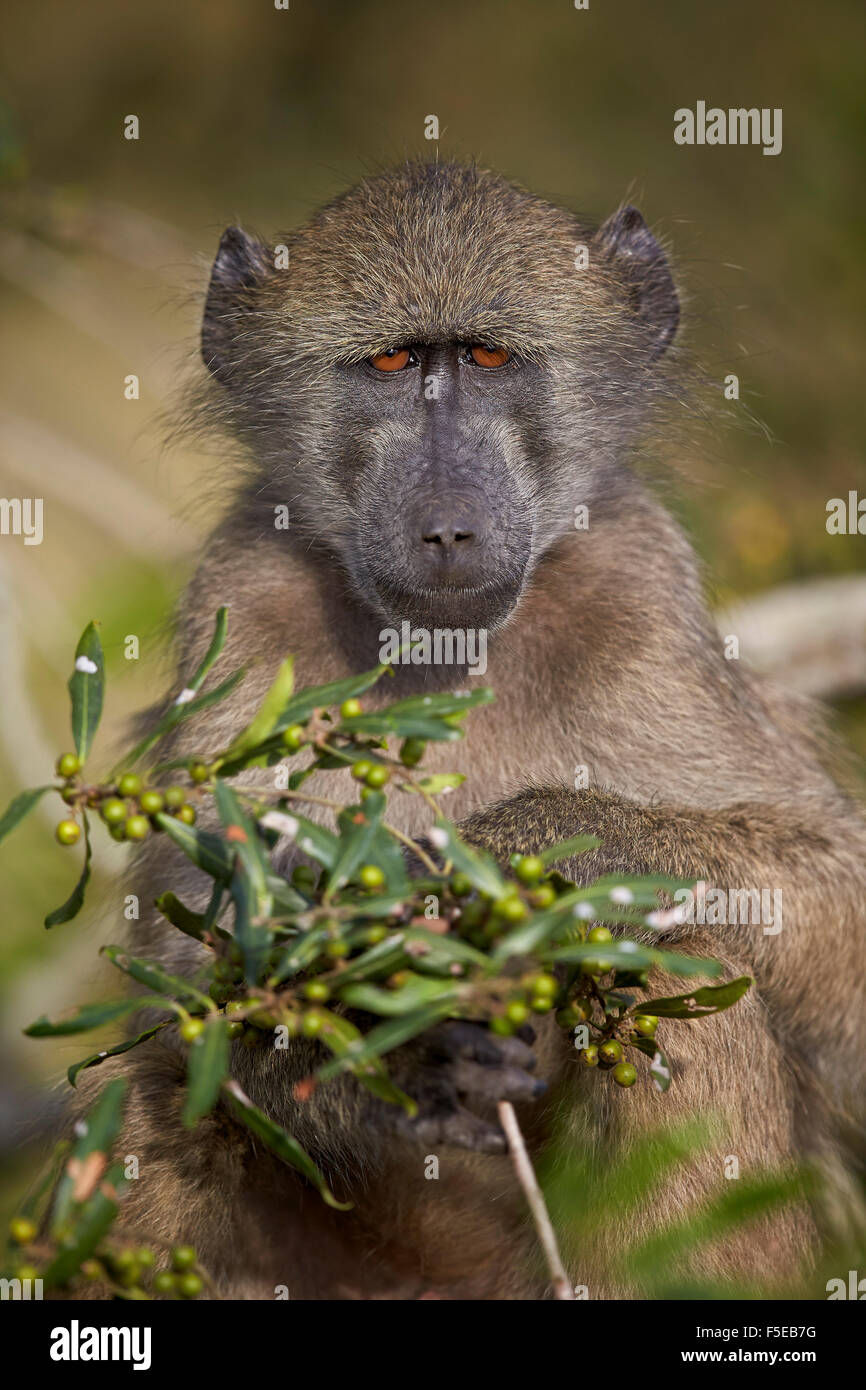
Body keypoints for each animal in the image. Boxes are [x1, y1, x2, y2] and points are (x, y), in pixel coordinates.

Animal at [69, 161, 865, 1300]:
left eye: (489, 358)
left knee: (682, 966)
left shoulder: (642, 588)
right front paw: (405, 1056)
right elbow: (192, 1001)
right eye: (393, 362)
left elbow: (840, 900)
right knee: (146, 1101)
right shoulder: (241, 596)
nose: (447, 527)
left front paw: (549, 844)